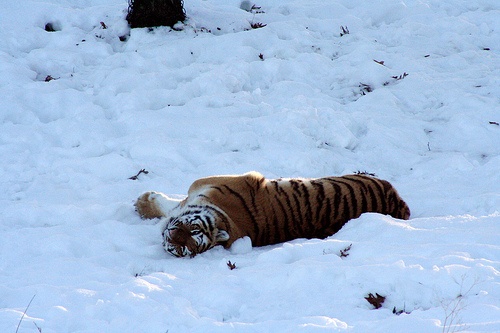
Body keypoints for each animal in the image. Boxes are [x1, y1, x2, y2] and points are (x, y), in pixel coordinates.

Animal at [134, 171, 410, 256]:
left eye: (192, 237)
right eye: (180, 248)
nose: (174, 238)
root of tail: (400, 207)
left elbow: (169, 206)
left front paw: (143, 201)